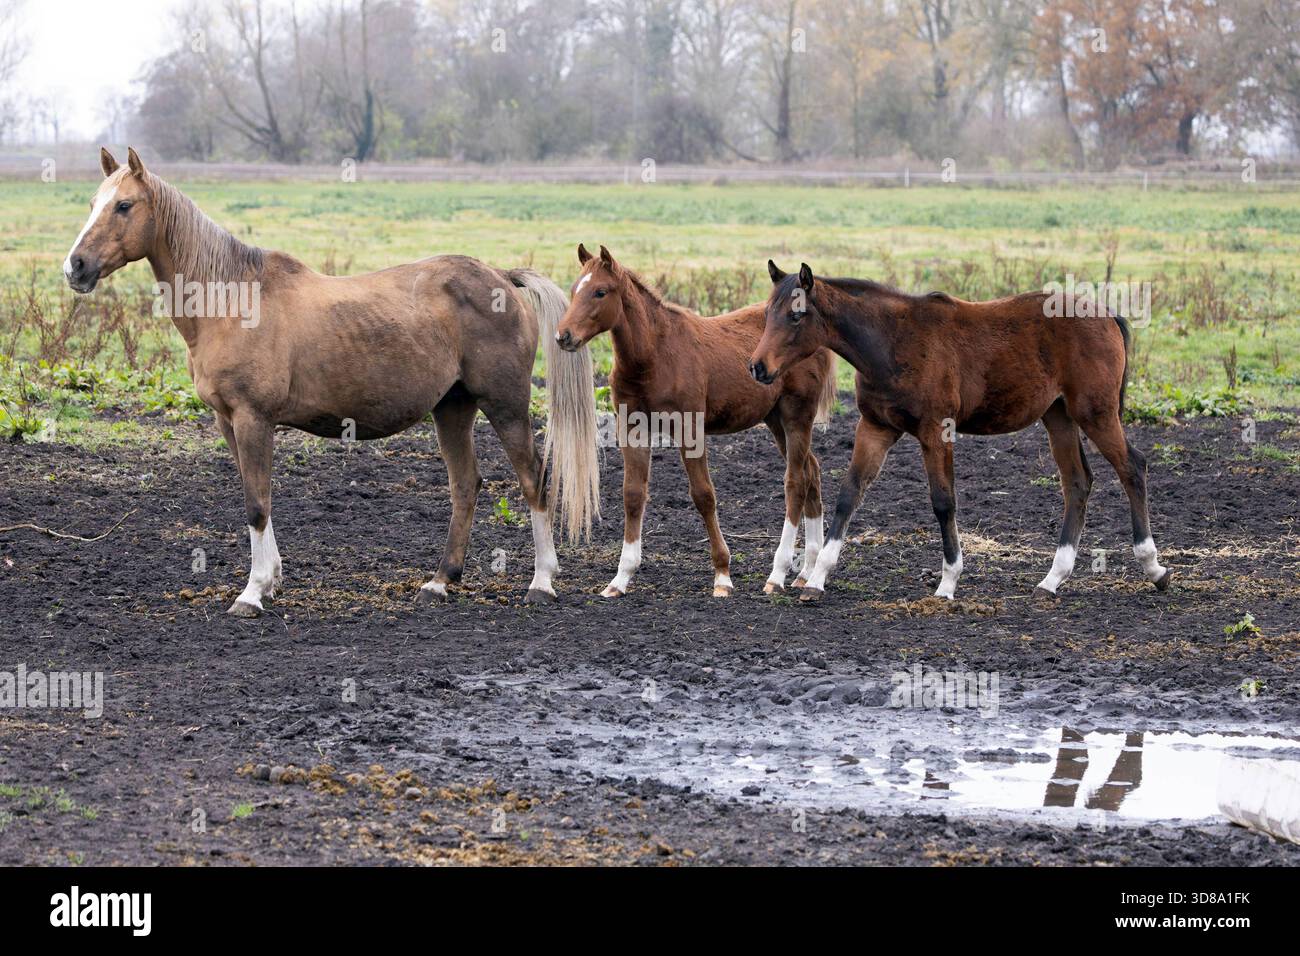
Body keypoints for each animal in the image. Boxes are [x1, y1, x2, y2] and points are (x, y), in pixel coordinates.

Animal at [63, 147, 600, 616]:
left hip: (505, 406)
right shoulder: (227, 423)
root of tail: (502, 277)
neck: (231, 301)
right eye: (91, 204)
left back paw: (541, 581)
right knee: (466, 485)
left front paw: (252, 593)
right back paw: (440, 582)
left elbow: (257, 504)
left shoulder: (253, 420)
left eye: (124, 205)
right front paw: (271, 580)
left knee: (533, 481)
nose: (75, 266)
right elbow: (257, 498)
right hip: (453, 408)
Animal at [555, 244, 837, 597]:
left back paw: (778, 574)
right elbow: (632, 494)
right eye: (573, 289)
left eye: (600, 291)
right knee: (812, 471)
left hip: (797, 415)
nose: (563, 336)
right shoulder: (632, 428)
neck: (655, 355)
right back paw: (807, 572)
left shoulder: (690, 429)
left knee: (796, 481)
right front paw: (620, 578)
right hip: (775, 420)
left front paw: (723, 576)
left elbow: (703, 495)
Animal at [749, 261, 1172, 603]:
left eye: (797, 315)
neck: (892, 342)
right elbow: (849, 494)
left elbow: (943, 501)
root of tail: (1108, 315)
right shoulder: (876, 427)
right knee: (1077, 482)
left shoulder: (937, 431)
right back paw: (1053, 579)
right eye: (768, 312)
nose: (757, 367)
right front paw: (817, 579)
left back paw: (1154, 568)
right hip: (1059, 417)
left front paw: (948, 583)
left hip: (1095, 413)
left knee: (1132, 467)